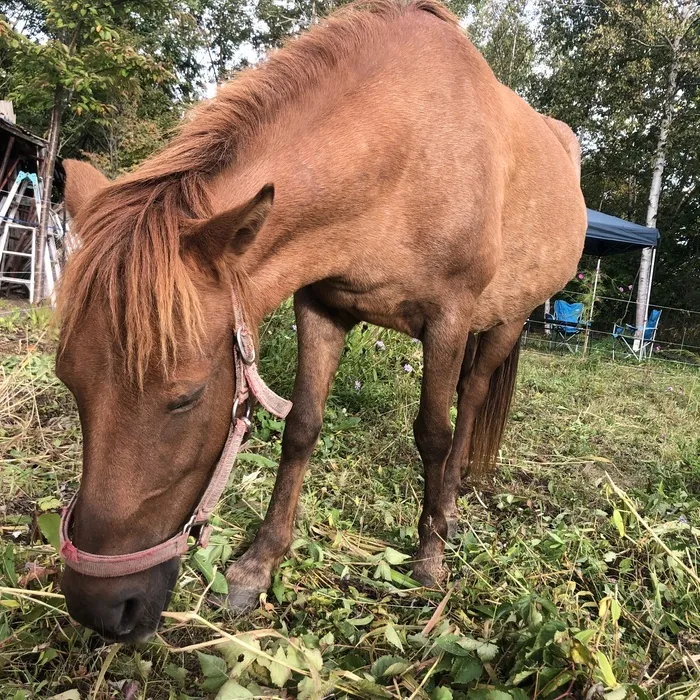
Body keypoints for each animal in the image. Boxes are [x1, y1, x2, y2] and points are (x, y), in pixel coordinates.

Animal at [54, 0, 584, 640]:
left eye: (186, 397)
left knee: (473, 398)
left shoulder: (449, 320)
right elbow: (302, 425)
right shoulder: (321, 306)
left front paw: (428, 560)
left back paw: (450, 510)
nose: (100, 609)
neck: (404, 149)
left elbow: (433, 434)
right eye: (69, 381)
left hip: (508, 319)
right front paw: (258, 565)